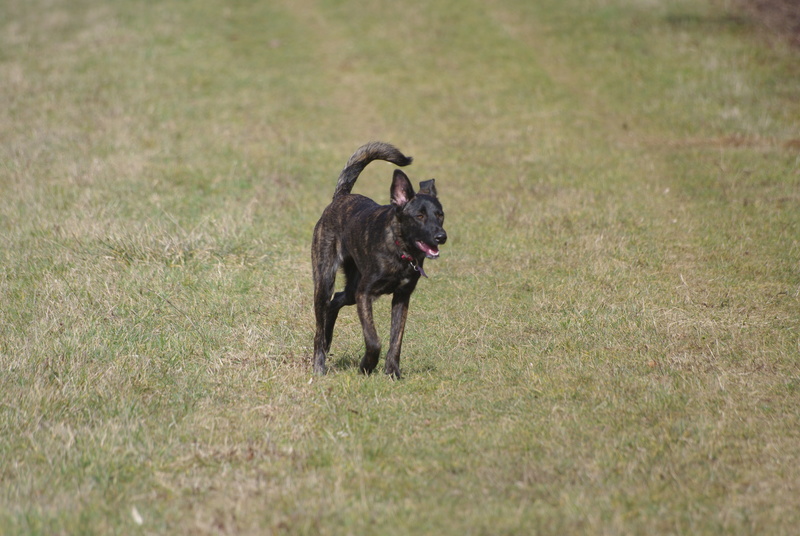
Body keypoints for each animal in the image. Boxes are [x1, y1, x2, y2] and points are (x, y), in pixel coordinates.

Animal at [312, 141, 446, 376]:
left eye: (440, 215)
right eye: (419, 216)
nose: (442, 237)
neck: (400, 250)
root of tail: (341, 198)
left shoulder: (401, 297)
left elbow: (396, 340)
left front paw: (392, 372)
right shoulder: (364, 294)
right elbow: (373, 340)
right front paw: (367, 365)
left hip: (351, 288)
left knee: (335, 302)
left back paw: (328, 343)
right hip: (325, 281)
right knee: (320, 323)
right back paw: (319, 364)